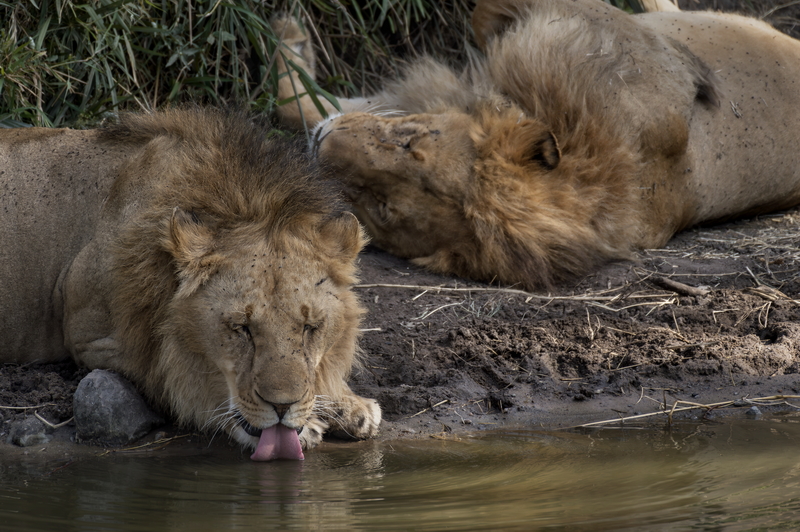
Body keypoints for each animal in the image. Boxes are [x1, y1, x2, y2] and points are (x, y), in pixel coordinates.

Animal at [0, 109, 380, 462]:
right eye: (241, 328)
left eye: (310, 327)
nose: (283, 407)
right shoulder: (91, 338)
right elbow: (186, 383)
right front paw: (312, 424)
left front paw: (349, 405)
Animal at [272, 1, 800, 290]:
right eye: (408, 141)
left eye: (381, 210)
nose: (323, 148)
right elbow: (297, 106)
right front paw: (292, 42)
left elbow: (481, 11)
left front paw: (286, 30)